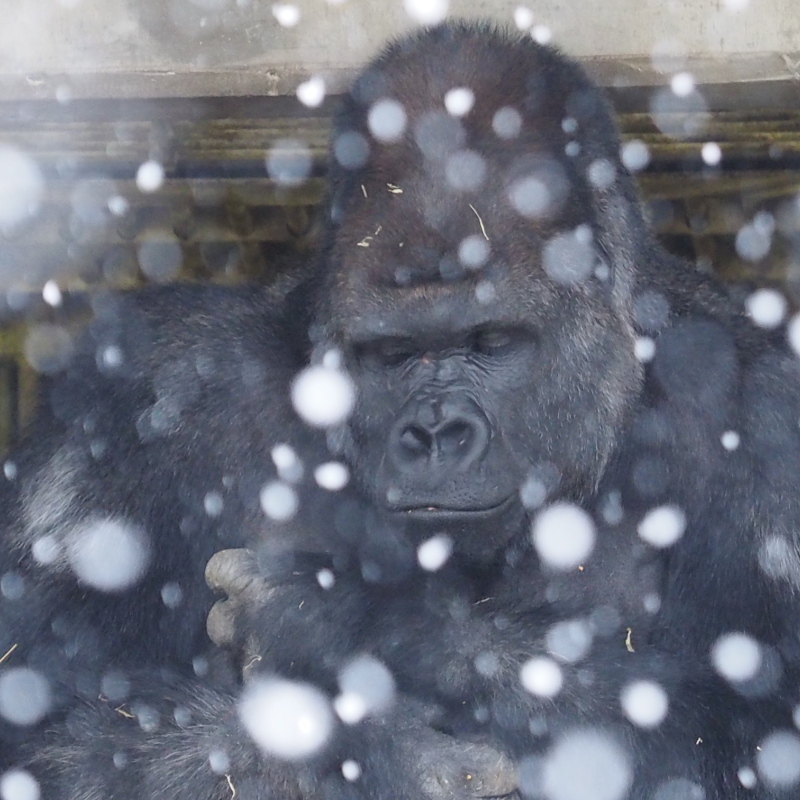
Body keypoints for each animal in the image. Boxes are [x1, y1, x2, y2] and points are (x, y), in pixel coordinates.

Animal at [1, 15, 800, 800]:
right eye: (390, 353)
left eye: (491, 341)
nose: (436, 433)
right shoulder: (150, 391)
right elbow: (38, 714)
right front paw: (370, 753)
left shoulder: (764, 415)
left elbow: (759, 731)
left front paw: (352, 622)